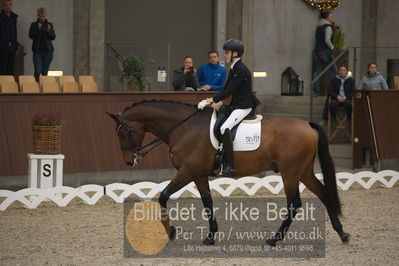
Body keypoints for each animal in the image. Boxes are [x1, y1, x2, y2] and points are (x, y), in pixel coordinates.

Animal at [108, 98, 352, 246]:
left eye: (124, 132)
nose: (129, 161)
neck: (183, 127)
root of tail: (308, 125)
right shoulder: (199, 175)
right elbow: (207, 202)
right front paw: (210, 236)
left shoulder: (188, 171)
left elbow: (164, 195)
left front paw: (171, 231)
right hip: (304, 171)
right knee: (324, 193)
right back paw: (342, 233)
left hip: (290, 172)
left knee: (295, 203)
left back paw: (275, 239)